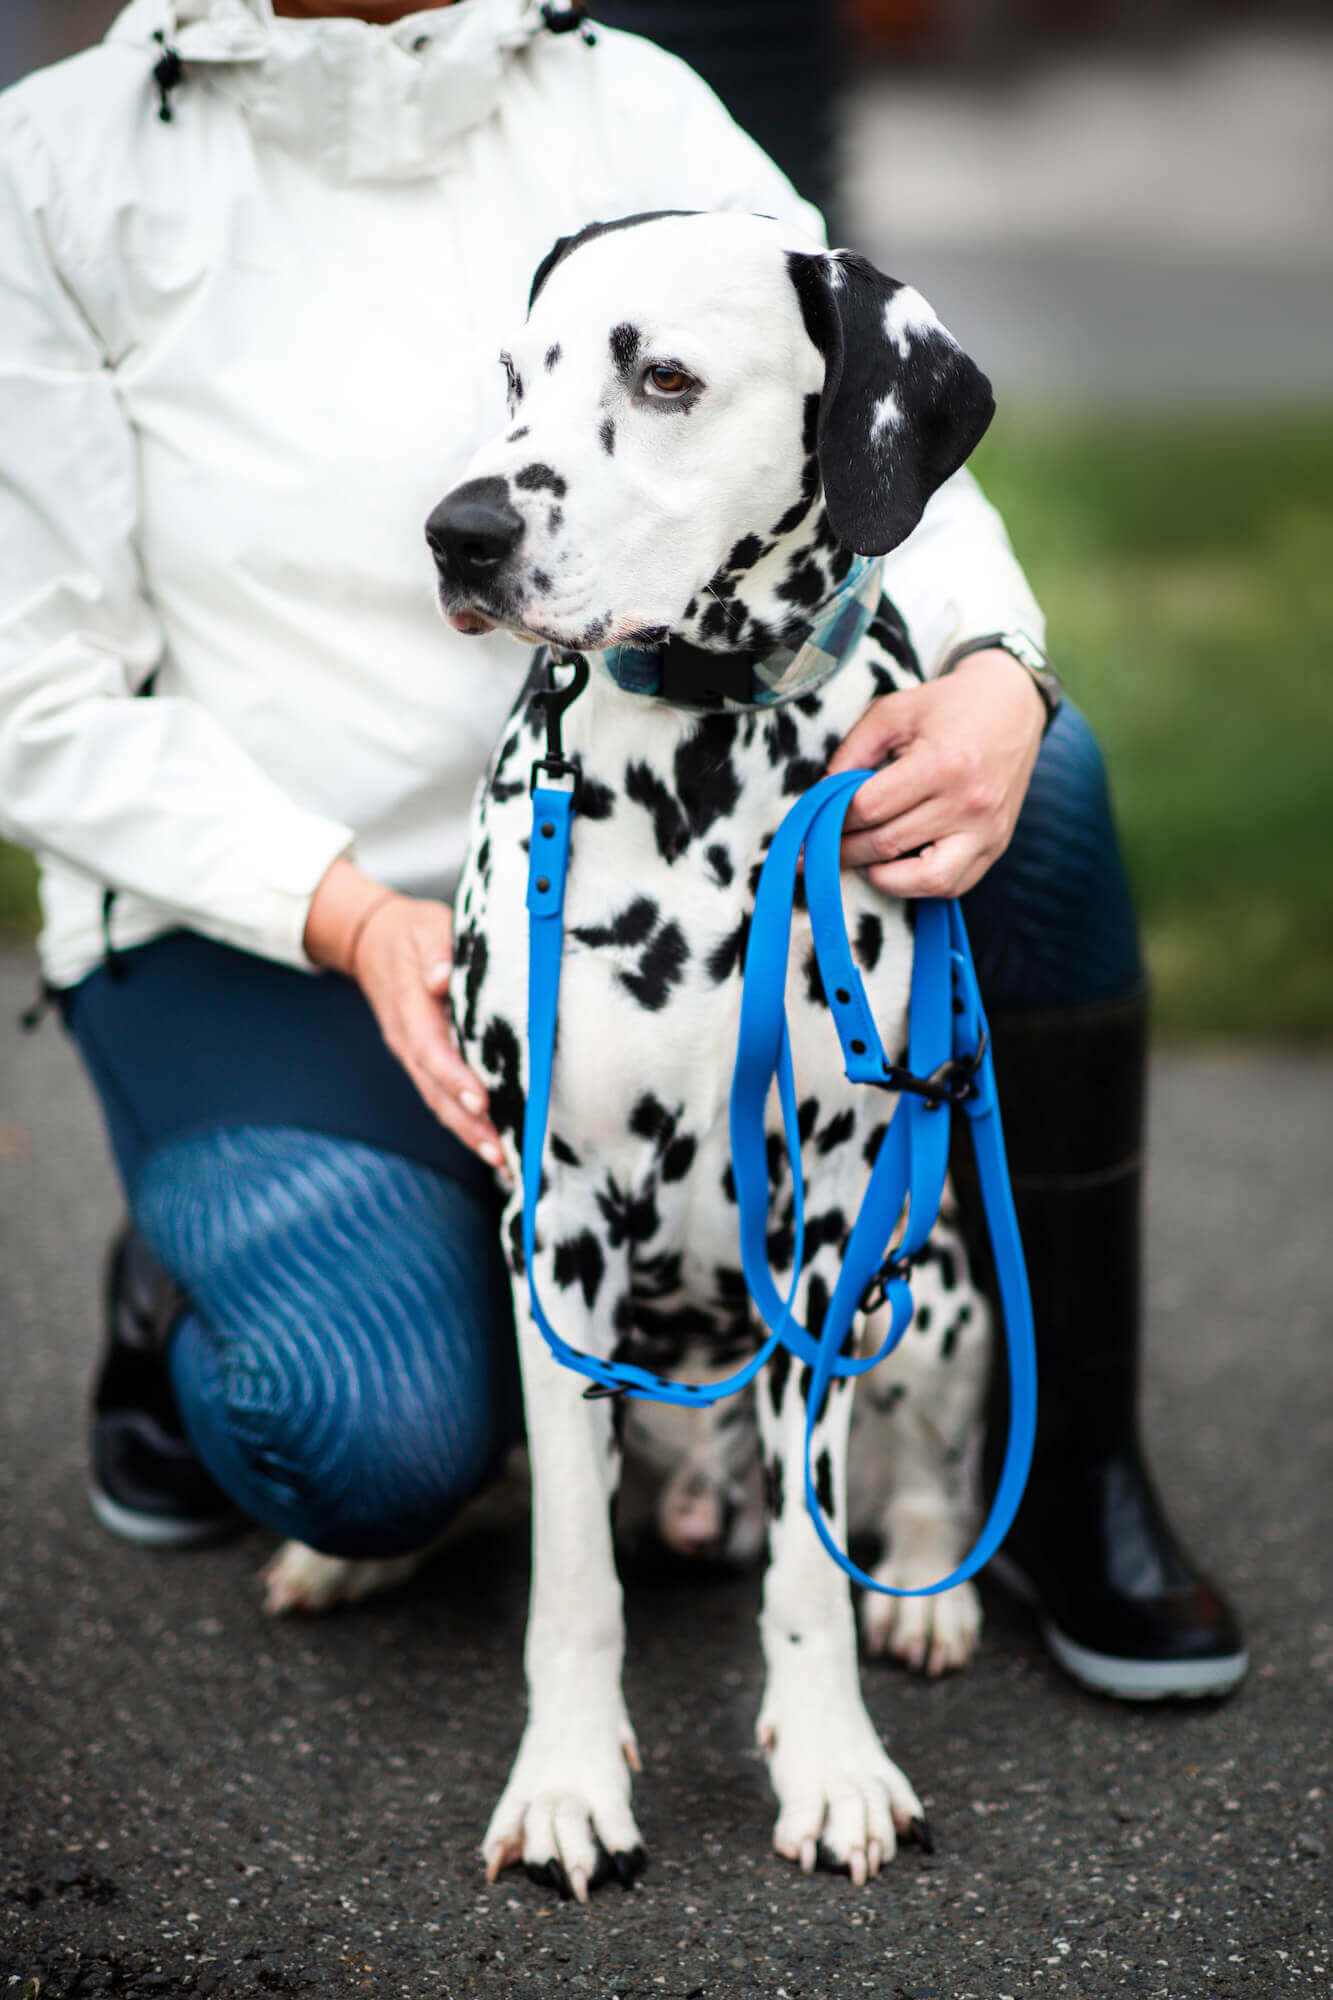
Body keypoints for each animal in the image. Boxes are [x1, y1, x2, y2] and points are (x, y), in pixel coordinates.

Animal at [262, 211, 984, 1896]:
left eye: (664, 378)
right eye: (514, 375)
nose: (458, 534)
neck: (706, 762)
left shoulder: (827, 1233)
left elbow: (810, 1562)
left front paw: (833, 1764)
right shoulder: (562, 1225)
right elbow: (573, 1582)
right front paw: (568, 1785)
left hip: (931, 1282)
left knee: (922, 1473)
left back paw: (927, 1589)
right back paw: (347, 1554)